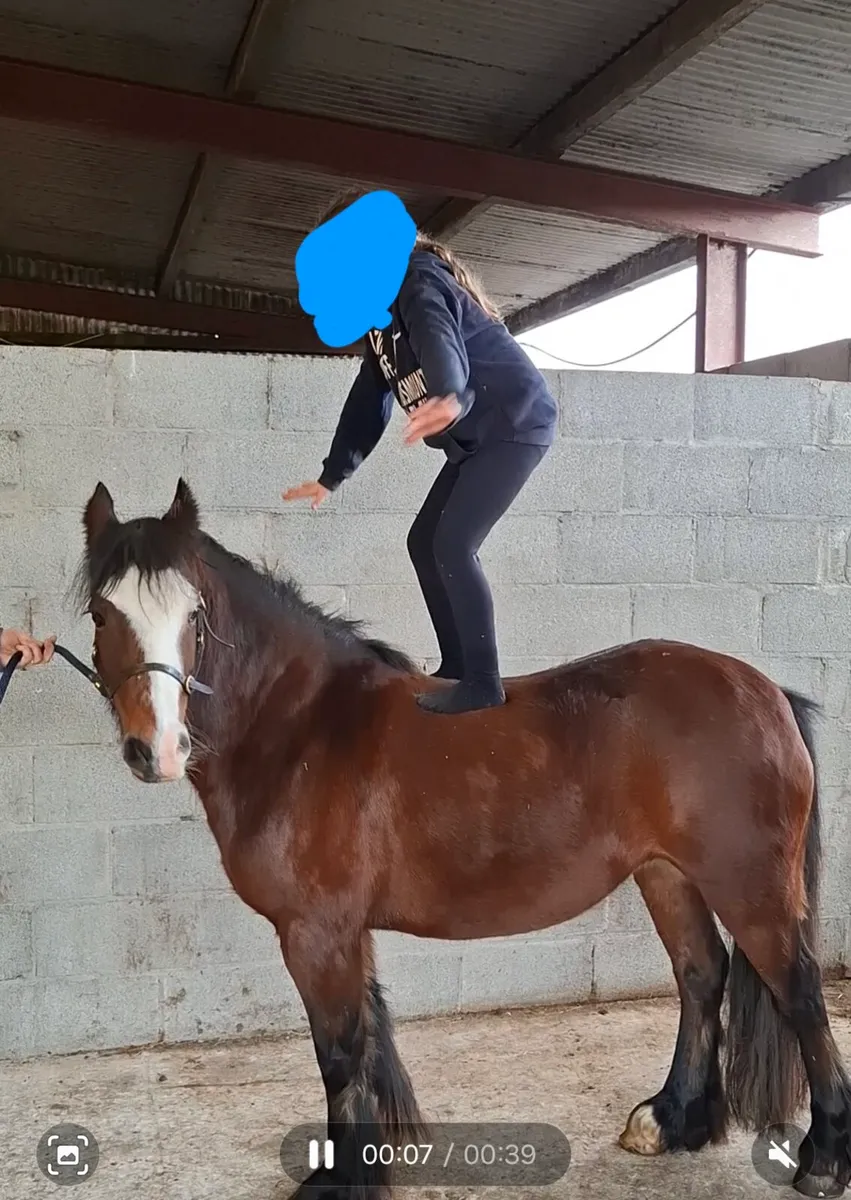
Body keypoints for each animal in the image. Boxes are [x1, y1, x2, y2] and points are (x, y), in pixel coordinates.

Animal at [72, 477, 851, 1199]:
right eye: (101, 612)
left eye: (194, 614)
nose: (156, 749)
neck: (304, 728)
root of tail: (767, 692)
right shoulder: (344, 932)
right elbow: (367, 1040)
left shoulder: (314, 932)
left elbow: (339, 1052)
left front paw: (339, 1180)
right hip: (667, 874)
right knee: (700, 975)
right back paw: (669, 1120)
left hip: (748, 887)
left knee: (800, 994)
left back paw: (822, 1159)